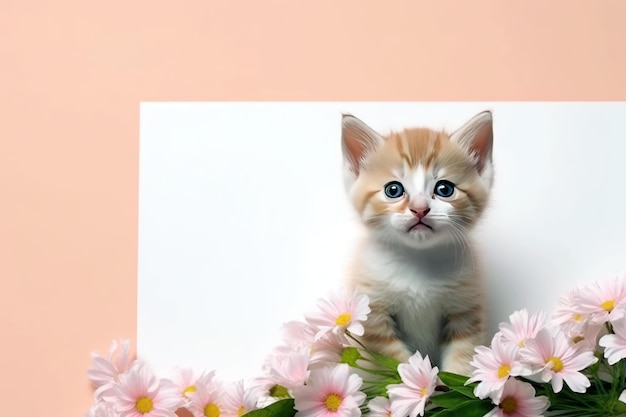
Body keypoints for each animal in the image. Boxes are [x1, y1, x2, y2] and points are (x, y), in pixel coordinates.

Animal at [342, 109, 492, 374]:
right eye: (393, 190)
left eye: (444, 189)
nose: (419, 209)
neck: (418, 259)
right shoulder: (373, 313)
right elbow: (394, 364)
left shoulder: (465, 309)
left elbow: (462, 360)